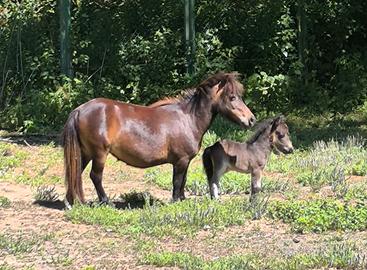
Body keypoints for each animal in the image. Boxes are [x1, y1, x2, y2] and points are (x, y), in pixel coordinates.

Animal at [63, 71, 256, 207]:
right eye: (232, 97)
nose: (251, 119)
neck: (188, 118)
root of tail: (80, 109)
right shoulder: (181, 160)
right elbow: (177, 181)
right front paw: (176, 201)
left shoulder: (184, 161)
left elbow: (183, 181)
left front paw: (182, 199)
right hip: (99, 154)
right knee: (95, 176)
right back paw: (105, 201)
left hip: (85, 153)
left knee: (76, 173)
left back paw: (71, 202)